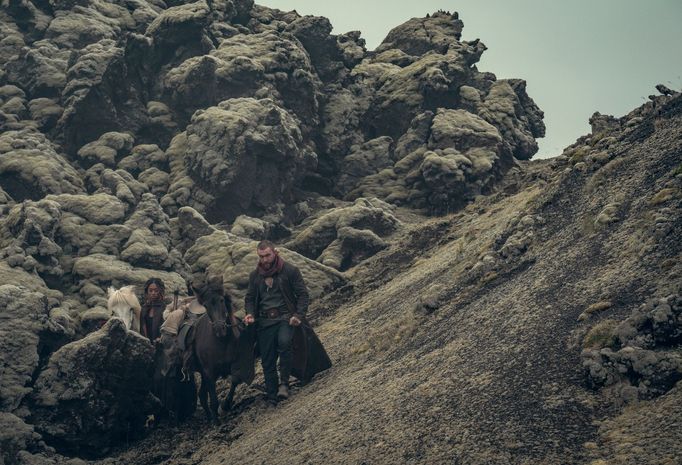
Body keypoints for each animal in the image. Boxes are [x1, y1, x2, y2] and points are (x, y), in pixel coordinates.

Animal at [189, 284, 255, 422]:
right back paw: (211, 418)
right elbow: (213, 398)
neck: (221, 342)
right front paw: (216, 419)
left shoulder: (236, 362)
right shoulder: (209, 372)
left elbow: (235, 380)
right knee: (203, 395)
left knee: (202, 394)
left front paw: (225, 405)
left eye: (221, 300)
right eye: (205, 305)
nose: (220, 329)